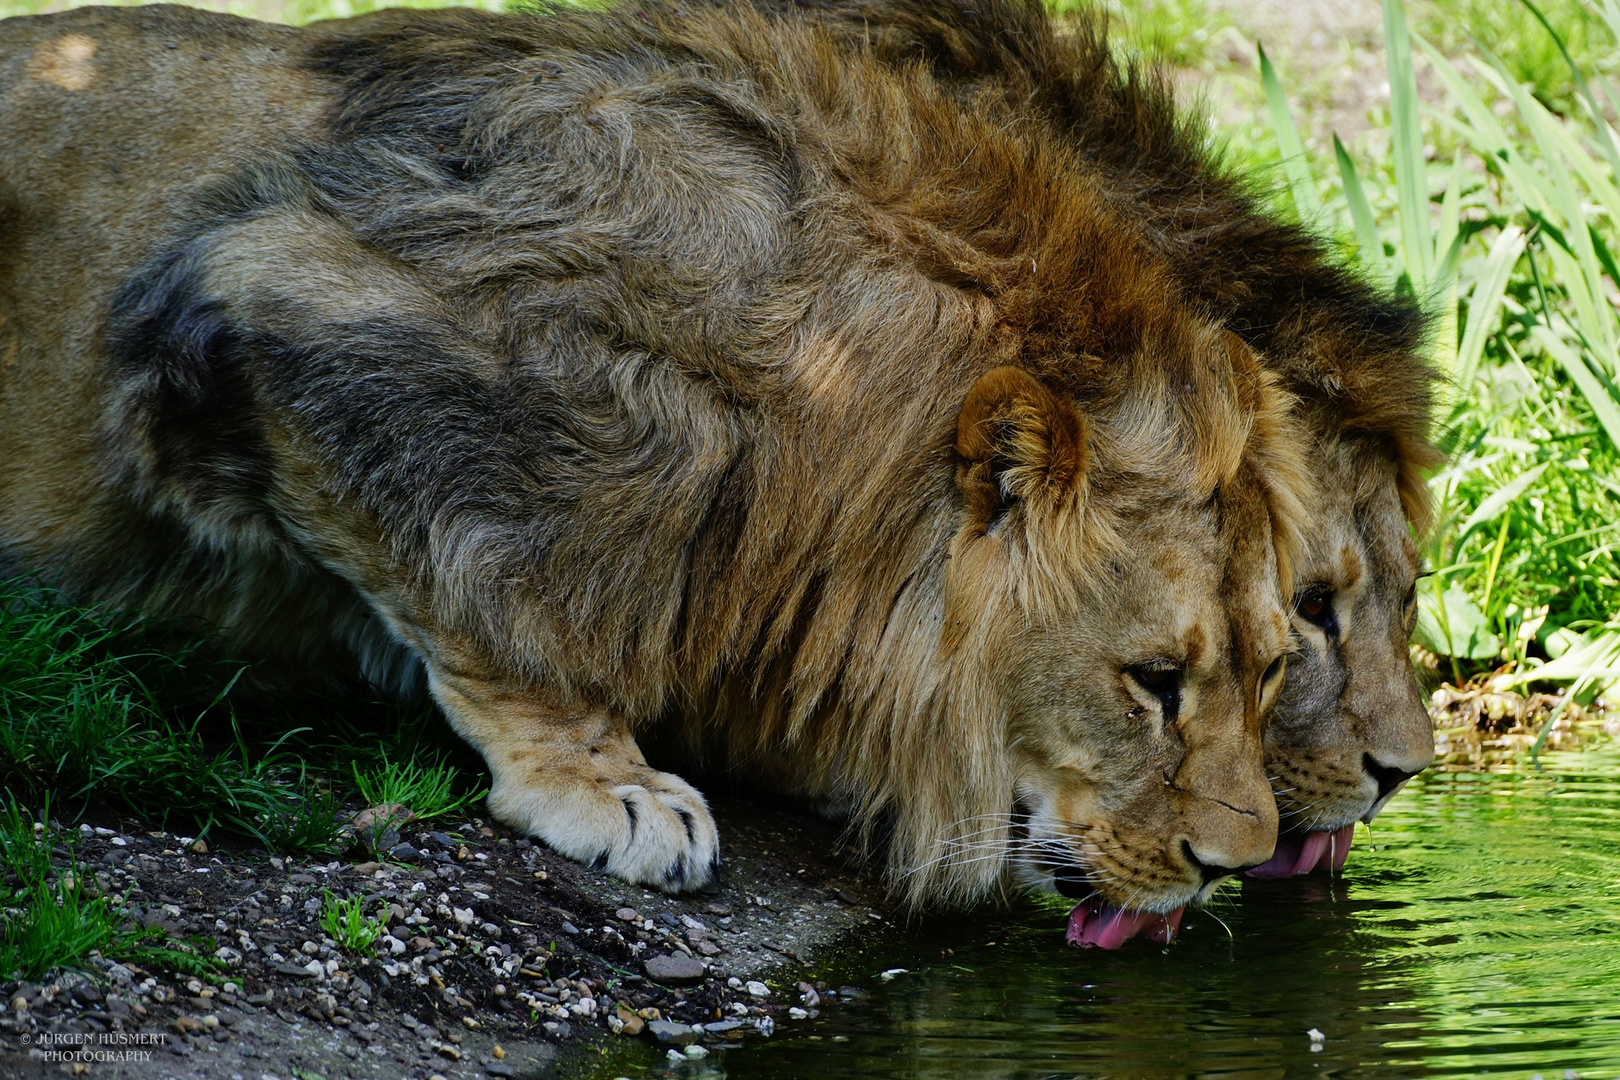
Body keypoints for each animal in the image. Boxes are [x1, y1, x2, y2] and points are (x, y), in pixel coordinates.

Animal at [0, 0, 1308, 919]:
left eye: (1275, 672)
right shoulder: (269, 293)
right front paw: (610, 783)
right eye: (1152, 681)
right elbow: (490, 586)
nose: (1234, 867)